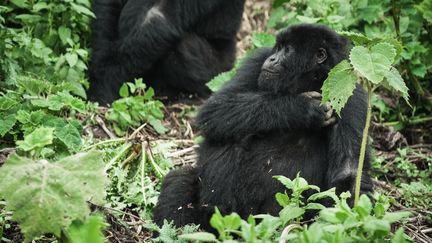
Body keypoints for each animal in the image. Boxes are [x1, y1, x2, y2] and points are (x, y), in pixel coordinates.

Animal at [154, 24, 372, 230]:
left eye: (287, 50)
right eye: (278, 47)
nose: (272, 58)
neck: (311, 81)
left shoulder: (352, 97)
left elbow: (349, 171)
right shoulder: (257, 61)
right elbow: (216, 108)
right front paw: (301, 108)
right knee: (212, 148)